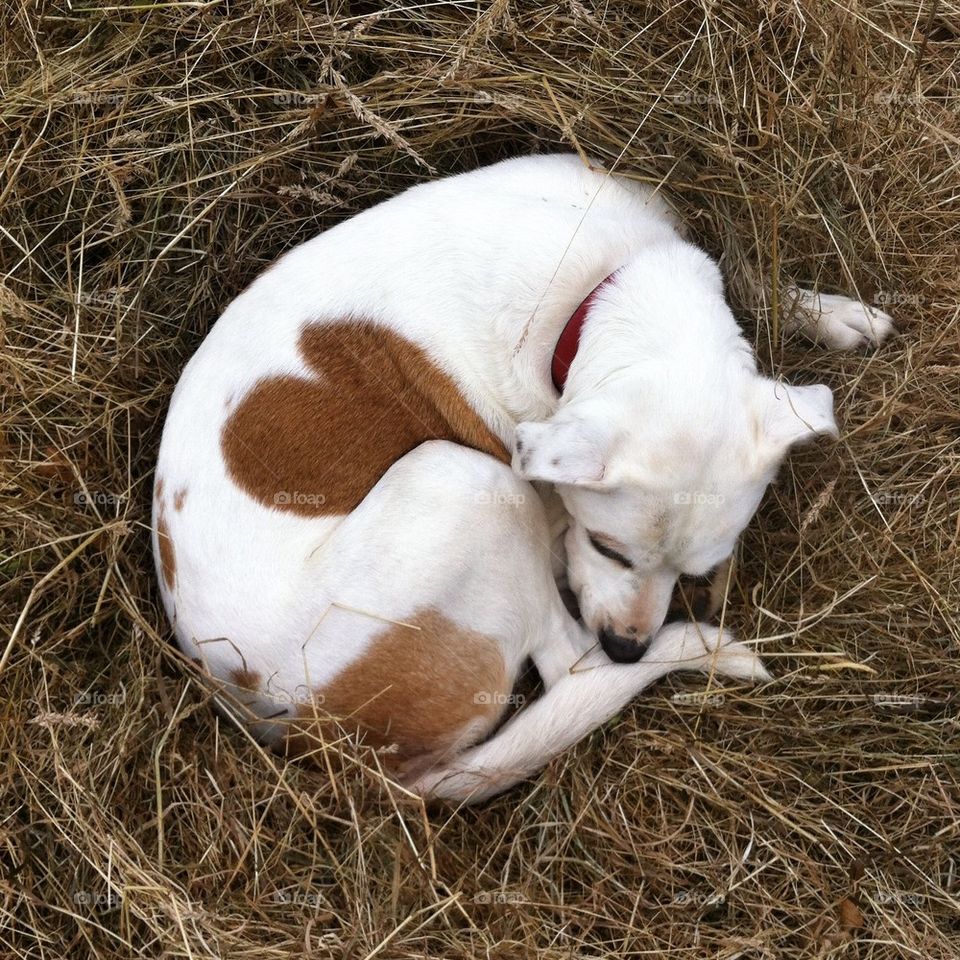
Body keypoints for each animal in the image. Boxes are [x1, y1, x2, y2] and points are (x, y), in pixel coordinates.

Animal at [154, 154, 896, 804]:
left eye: (696, 570)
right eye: (607, 547)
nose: (628, 648)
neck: (595, 292)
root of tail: (325, 740)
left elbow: (748, 279)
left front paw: (830, 313)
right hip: (462, 484)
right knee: (570, 669)